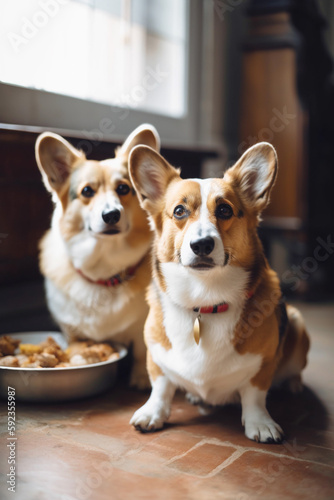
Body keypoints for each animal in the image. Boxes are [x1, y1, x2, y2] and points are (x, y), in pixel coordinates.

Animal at [35, 124, 160, 386]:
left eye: (123, 188)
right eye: (87, 191)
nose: (111, 215)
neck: (105, 269)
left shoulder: (143, 326)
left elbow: (142, 350)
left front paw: (141, 378)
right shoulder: (71, 331)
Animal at [129, 142, 310, 442]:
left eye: (225, 210)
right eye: (179, 211)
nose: (202, 244)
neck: (205, 299)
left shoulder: (262, 366)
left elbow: (254, 395)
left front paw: (260, 423)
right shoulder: (157, 357)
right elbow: (161, 386)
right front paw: (152, 412)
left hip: (297, 323)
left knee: (294, 370)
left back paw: (294, 385)